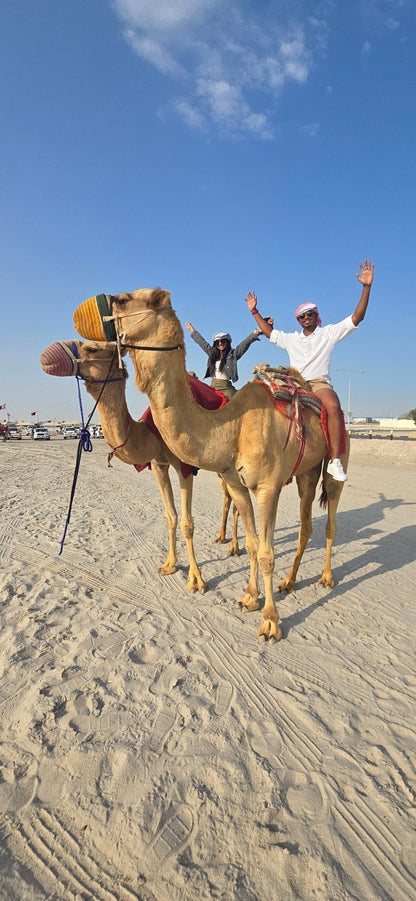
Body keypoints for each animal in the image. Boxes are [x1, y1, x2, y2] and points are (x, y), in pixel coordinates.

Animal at [40, 339, 239, 592]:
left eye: (92, 349)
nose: (47, 355)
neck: (151, 434)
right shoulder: (158, 464)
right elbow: (170, 516)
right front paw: (169, 565)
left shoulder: (183, 466)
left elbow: (187, 523)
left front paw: (196, 580)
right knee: (228, 498)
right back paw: (222, 538)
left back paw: (235, 548)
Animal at [73, 290, 350, 642]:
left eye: (122, 299)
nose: (75, 343)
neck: (231, 426)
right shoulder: (229, 480)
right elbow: (250, 543)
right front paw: (248, 597)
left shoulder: (266, 486)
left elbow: (265, 552)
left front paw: (269, 622)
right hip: (305, 471)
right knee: (305, 523)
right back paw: (287, 581)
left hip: (337, 449)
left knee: (329, 518)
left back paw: (324, 578)